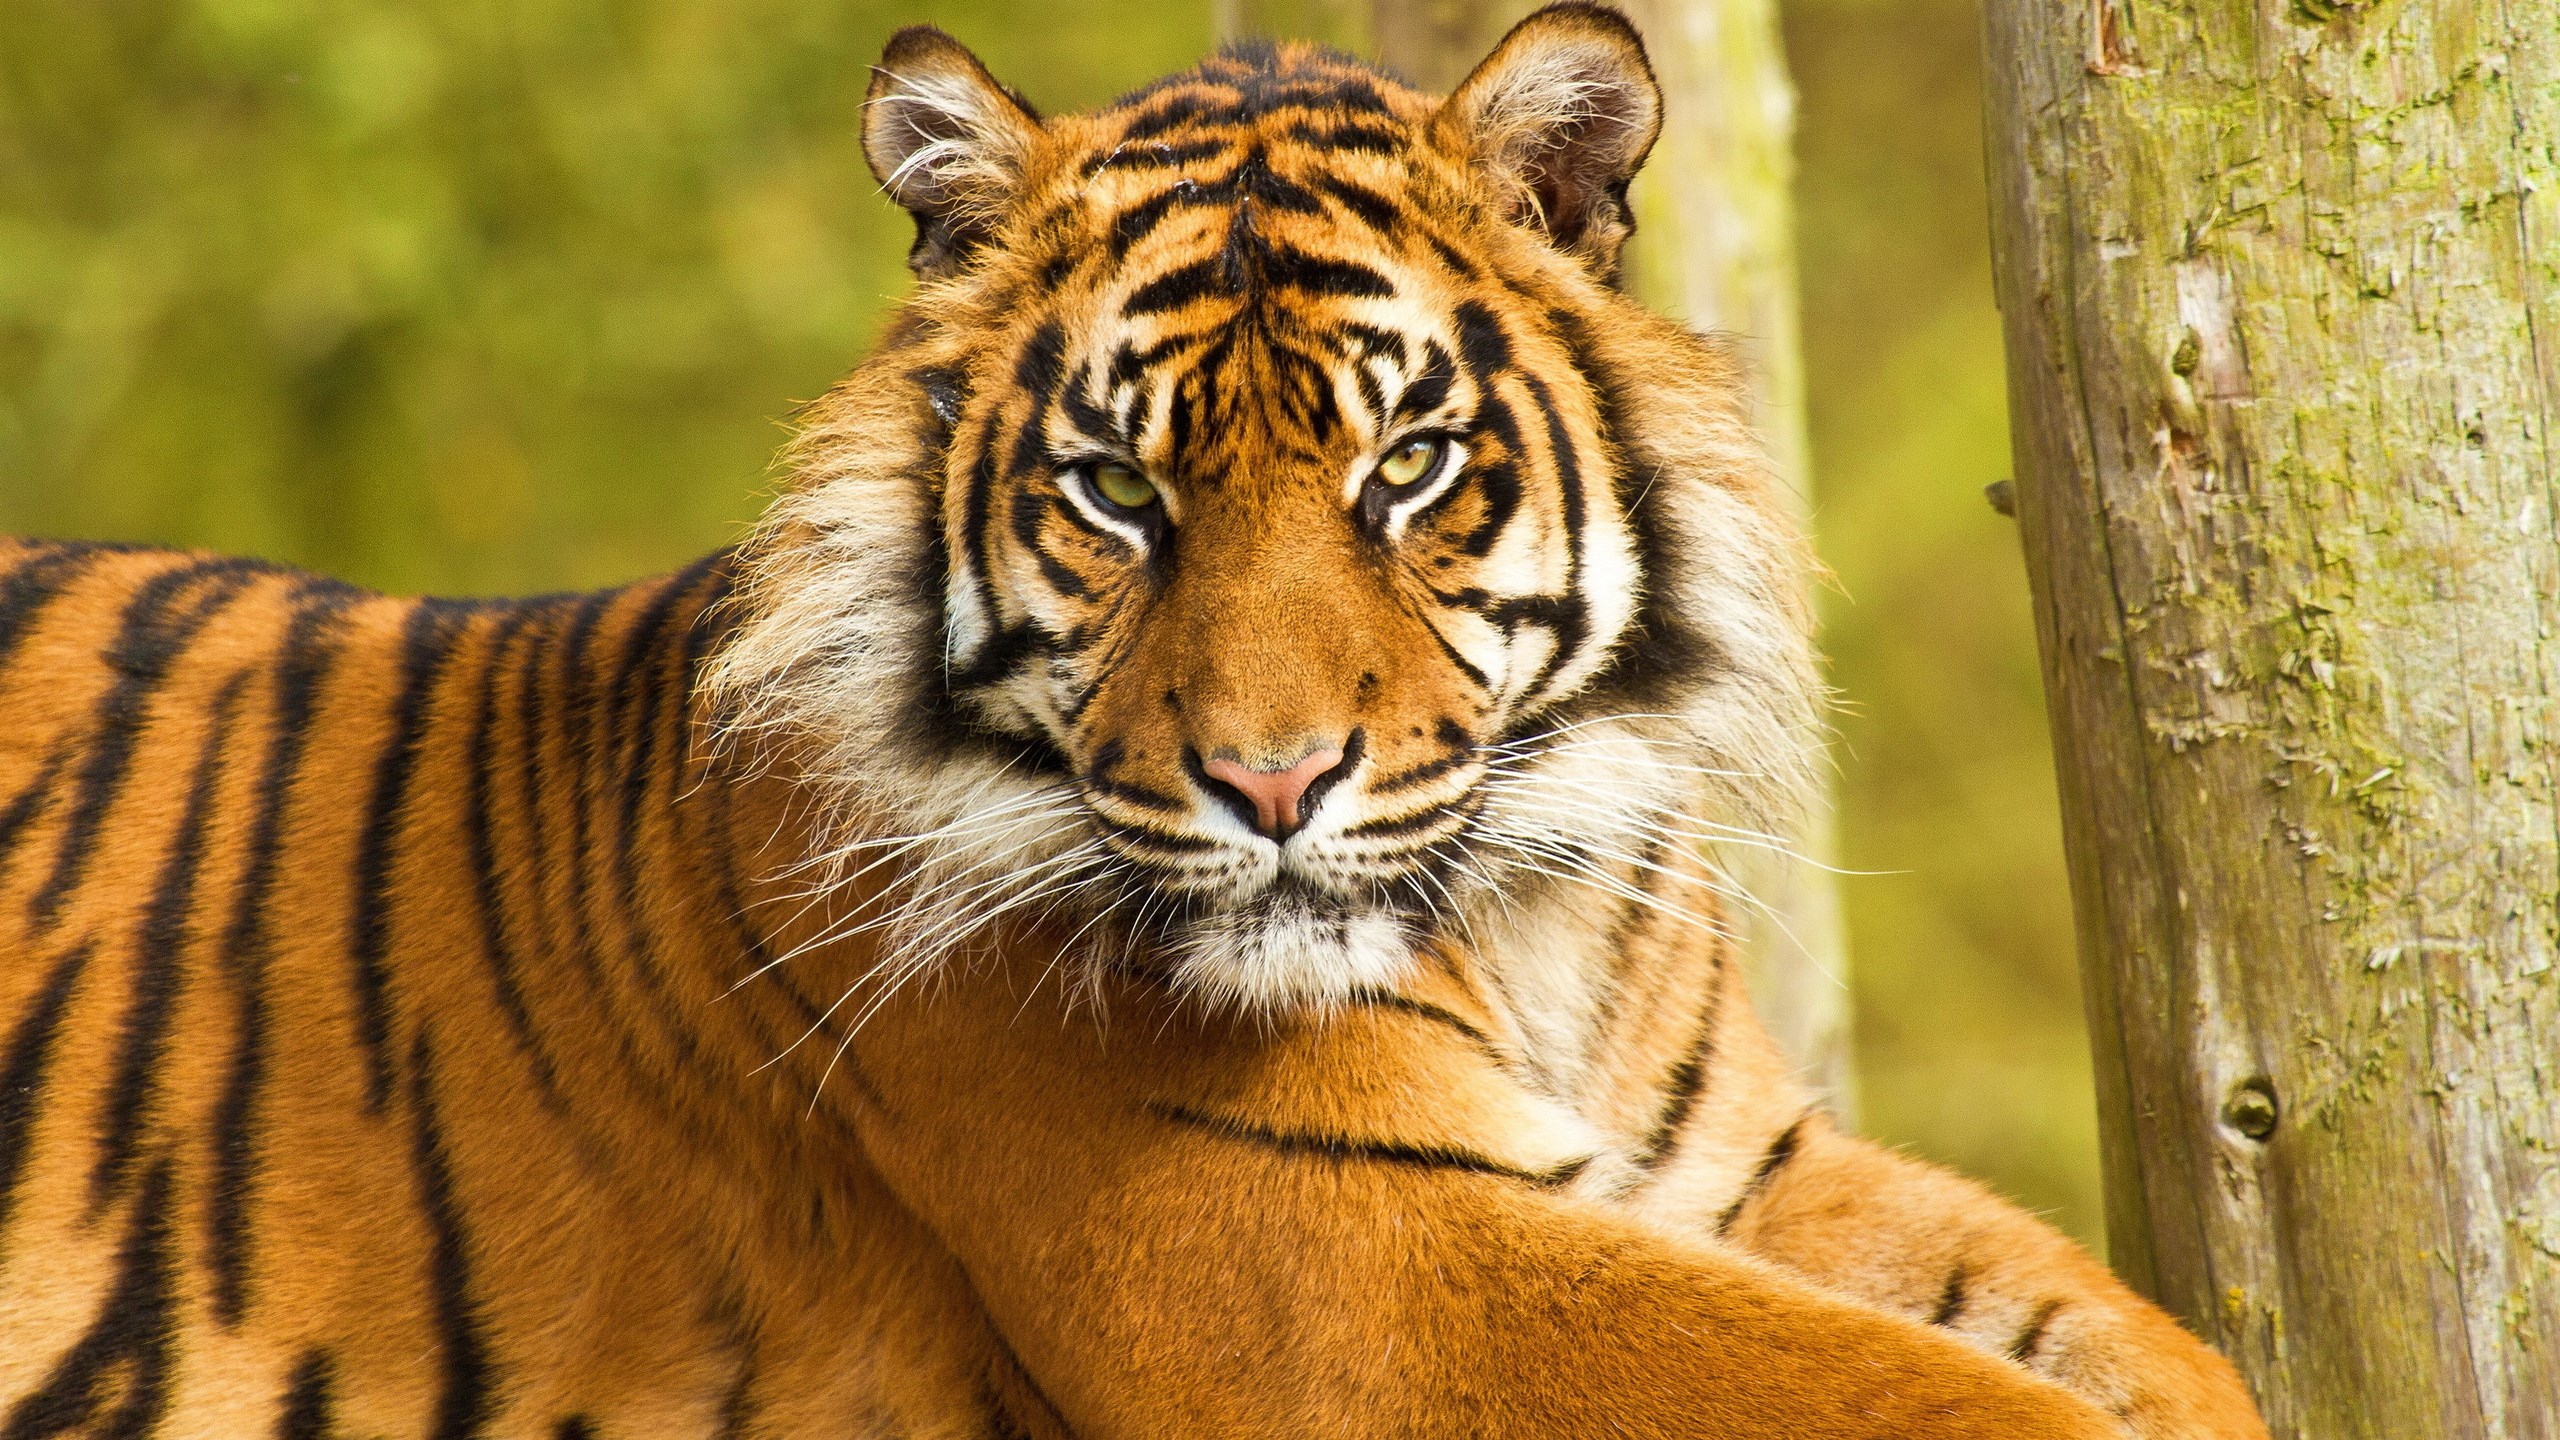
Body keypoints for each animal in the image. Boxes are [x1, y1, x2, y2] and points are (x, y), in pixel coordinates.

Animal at [0, 5, 2270, 1437]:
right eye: (1115, 490)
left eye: (1405, 467)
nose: (1271, 785)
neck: (1533, 912)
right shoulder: (1371, 1272)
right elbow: (1972, 1406)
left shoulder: (1727, 1169)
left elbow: (2138, 1351)